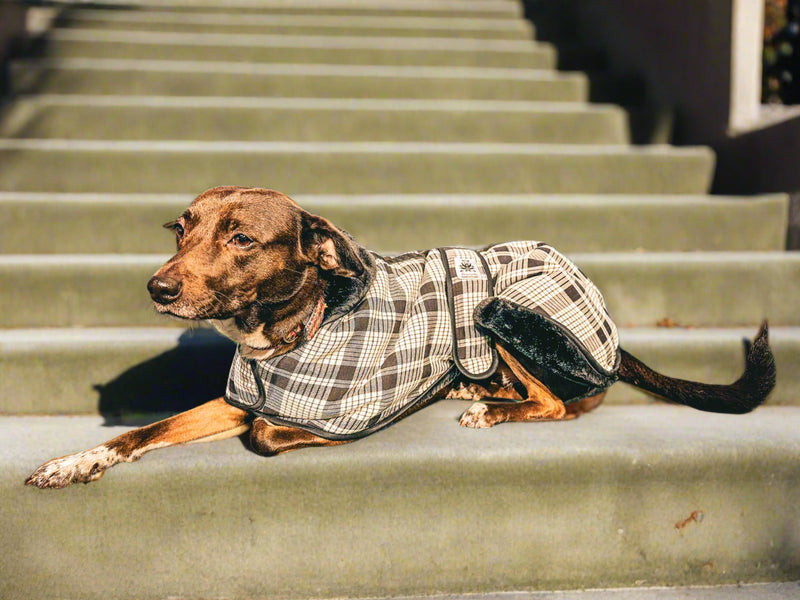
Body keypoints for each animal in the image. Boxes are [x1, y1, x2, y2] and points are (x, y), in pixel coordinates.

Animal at [25, 186, 776, 488]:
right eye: (180, 230)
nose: (157, 287)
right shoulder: (238, 399)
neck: (290, 332)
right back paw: (475, 392)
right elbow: (143, 432)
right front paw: (76, 462)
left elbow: (264, 435)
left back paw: (488, 407)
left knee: (566, 402)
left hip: (503, 305)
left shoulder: (330, 415)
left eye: (241, 238)